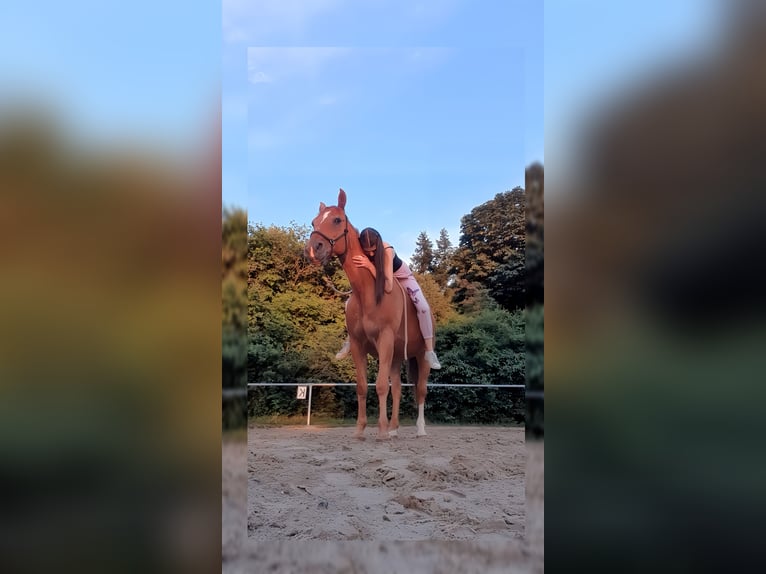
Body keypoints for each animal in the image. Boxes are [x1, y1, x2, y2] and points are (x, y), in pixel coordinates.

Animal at [304, 188, 431, 440]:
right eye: (314, 221)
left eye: (337, 220)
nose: (314, 249)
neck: (368, 293)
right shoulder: (358, 344)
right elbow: (363, 386)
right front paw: (361, 429)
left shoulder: (385, 339)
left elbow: (380, 385)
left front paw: (380, 430)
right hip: (396, 357)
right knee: (398, 389)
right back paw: (394, 429)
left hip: (421, 356)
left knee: (421, 390)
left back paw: (420, 429)